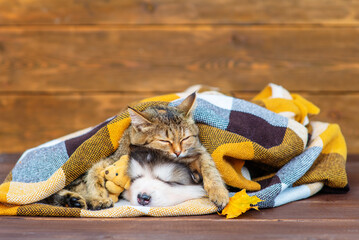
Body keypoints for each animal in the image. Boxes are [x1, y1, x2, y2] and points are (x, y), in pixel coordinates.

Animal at [43, 93, 229, 209]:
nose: (177, 152)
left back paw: (73, 200)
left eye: (185, 138)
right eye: (164, 141)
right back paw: (80, 200)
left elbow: (210, 166)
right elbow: (94, 175)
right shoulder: (109, 160)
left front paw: (219, 192)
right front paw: (100, 197)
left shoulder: (198, 149)